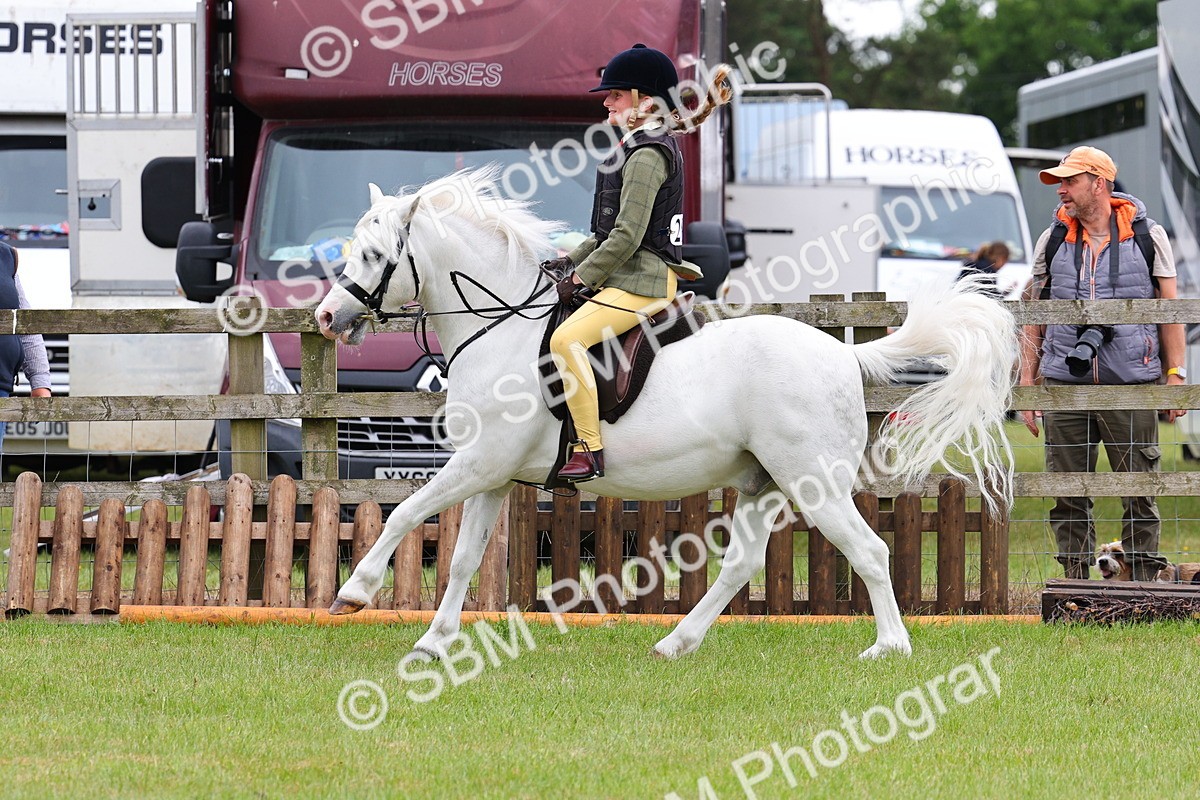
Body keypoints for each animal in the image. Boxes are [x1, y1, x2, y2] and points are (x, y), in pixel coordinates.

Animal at [315, 166, 1018, 660]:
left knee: (869, 550)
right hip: (763, 483)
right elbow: (462, 558)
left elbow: (404, 511)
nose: (326, 317)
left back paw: (889, 647)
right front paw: (432, 643)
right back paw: (675, 642)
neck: (500, 327)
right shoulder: (491, 472)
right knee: (741, 565)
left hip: (813, 484)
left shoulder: (479, 463)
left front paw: (355, 591)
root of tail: (845, 356)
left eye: (374, 255)